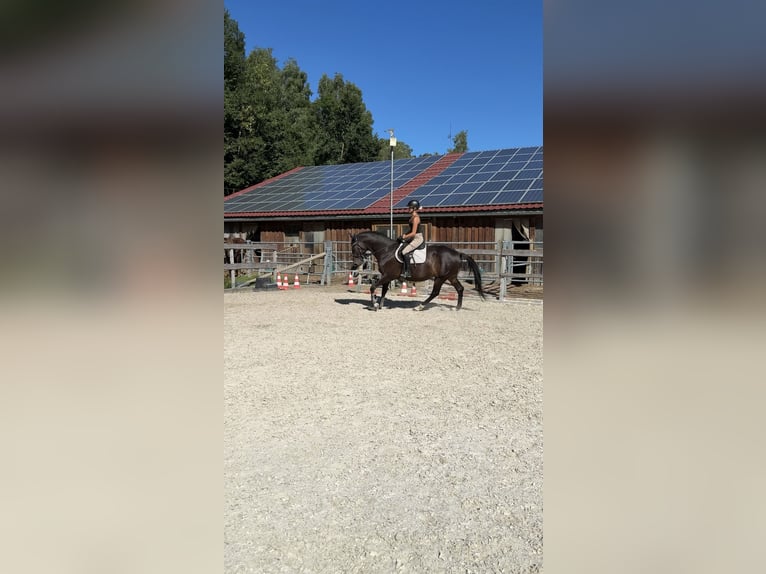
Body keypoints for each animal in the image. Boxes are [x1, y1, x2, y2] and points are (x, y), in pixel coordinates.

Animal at [350, 231, 486, 311]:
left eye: (354, 247)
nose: (356, 264)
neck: (386, 251)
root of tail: (457, 253)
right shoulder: (386, 276)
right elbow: (383, 290)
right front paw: (380, 304)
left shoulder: (388, 275)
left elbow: (373, 287)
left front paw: (374, 305)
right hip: (451, 277)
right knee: (460, 289)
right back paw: (457, 308)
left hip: (441, 278)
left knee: (435, 292)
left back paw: (420, 306)